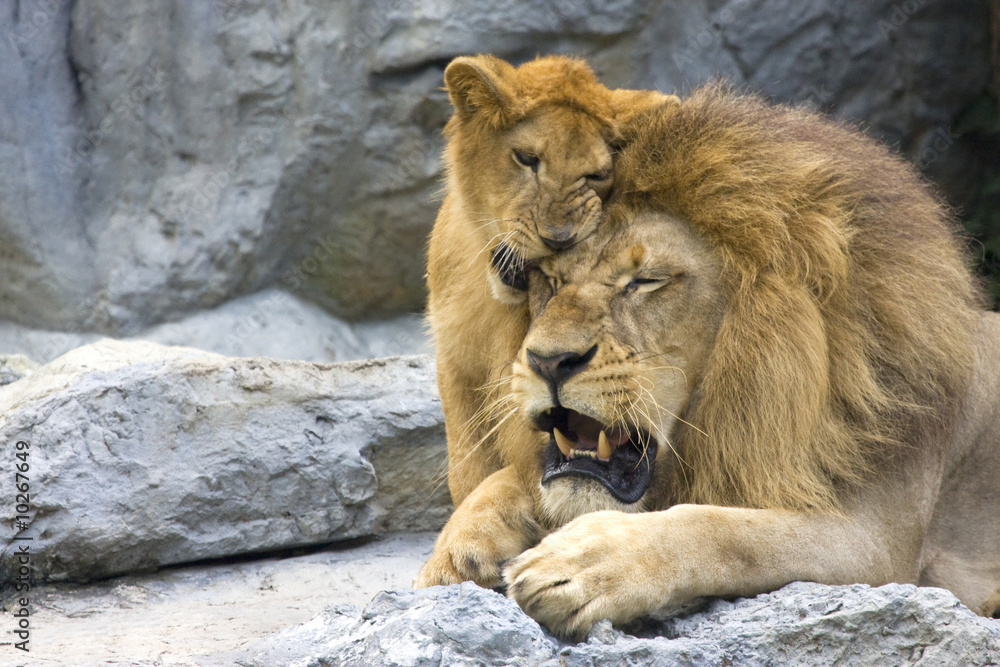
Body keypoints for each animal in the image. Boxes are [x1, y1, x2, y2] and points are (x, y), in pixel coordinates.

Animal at [426, 54, 677, 511]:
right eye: (526, 158)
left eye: (596, 174)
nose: (558, 237)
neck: (495, 301)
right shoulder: (456, 363)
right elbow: (467, 468)